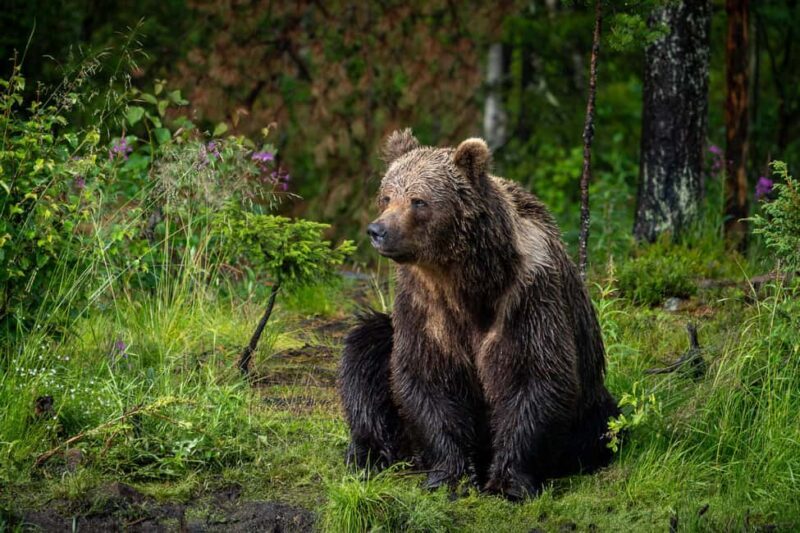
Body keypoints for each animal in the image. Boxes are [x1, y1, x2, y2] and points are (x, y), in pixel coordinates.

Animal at [338, 129, 619, 500]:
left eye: (418, 200)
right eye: (386, 196)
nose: (378, 231)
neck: (467, 281)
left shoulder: (526, 297)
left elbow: (533, 375)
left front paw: (508, 481)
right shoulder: (423, 304)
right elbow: (426, 376)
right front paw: (450, 474)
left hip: (592, 406)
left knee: (604, 426)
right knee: (365, 350)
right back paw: (368, 452)